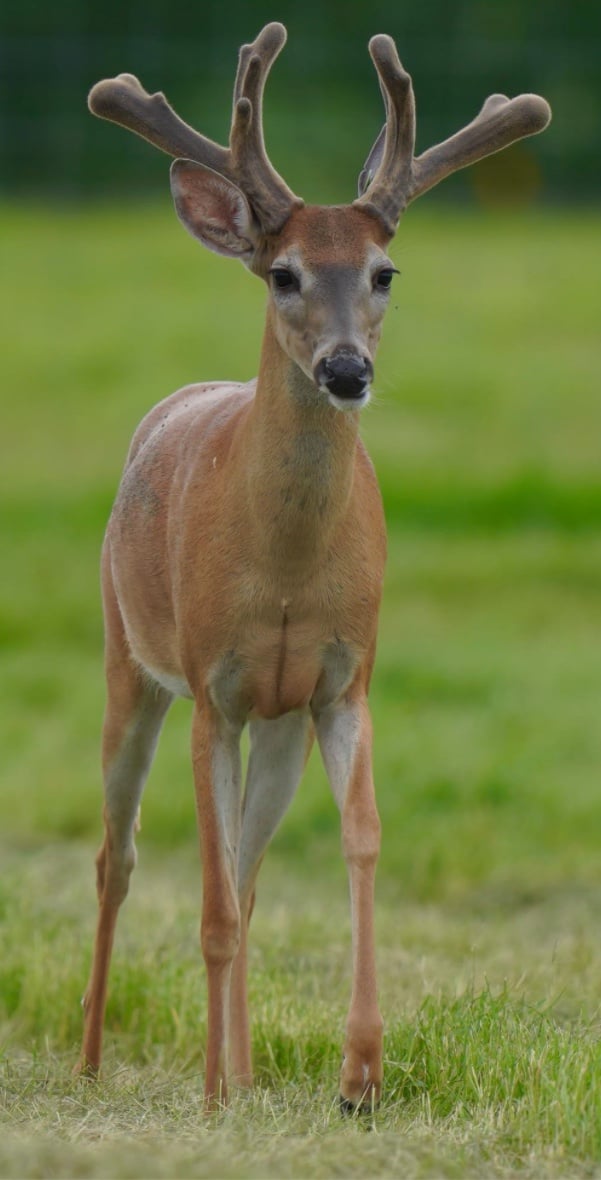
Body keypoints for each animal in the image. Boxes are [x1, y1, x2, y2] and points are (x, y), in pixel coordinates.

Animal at [77, 23, 551, 1112]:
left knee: (249, 875)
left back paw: (248, 1071)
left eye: (384, 272)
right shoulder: (212, 684)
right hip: (131, 659)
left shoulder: (343, 679)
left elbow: (359, 839)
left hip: (280, 720)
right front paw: (214, 1093)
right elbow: (205, 901)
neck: (287, 570)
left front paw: (359, 1073)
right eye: (283, 273)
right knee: (119, 854)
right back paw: (94, 1061)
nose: (345, 369)